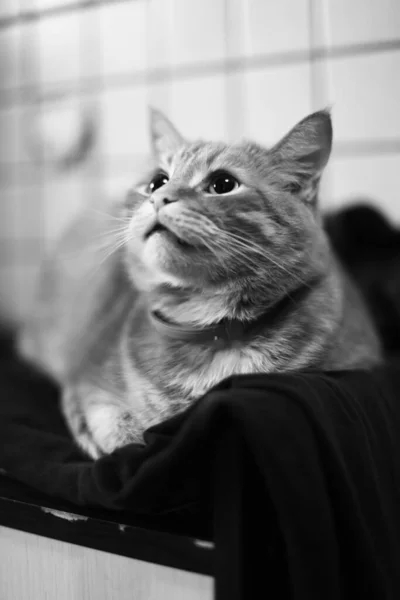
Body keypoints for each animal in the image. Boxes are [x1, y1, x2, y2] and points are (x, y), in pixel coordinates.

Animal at [18, 108, 382, 458]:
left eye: (223, 184)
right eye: (157, 182)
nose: (159, 198)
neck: (214, 330)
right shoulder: (84, 380)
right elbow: (112, 428)